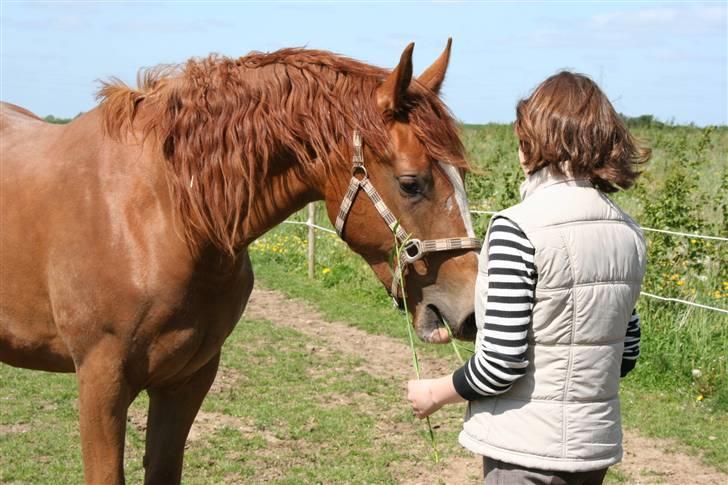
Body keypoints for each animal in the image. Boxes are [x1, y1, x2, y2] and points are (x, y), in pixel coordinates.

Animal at [0, 41, 480, 484]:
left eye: (462, 176)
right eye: (411, 183)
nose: (470, 312)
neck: (162, 214)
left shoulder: (188, 379)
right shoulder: (101, 382)